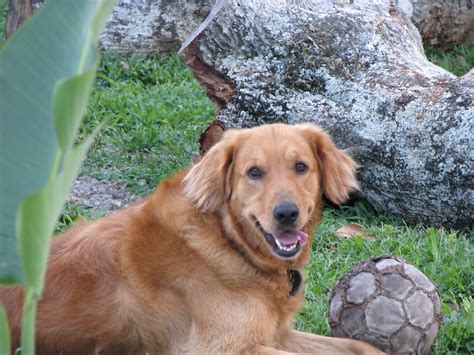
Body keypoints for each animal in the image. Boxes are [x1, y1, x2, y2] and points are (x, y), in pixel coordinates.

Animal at [0, 124, 382, 354]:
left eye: (301, 166)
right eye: (254, 172)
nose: (286, 213)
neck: (228, 242)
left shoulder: (277, 332)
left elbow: (362, 347)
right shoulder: (220, 347)